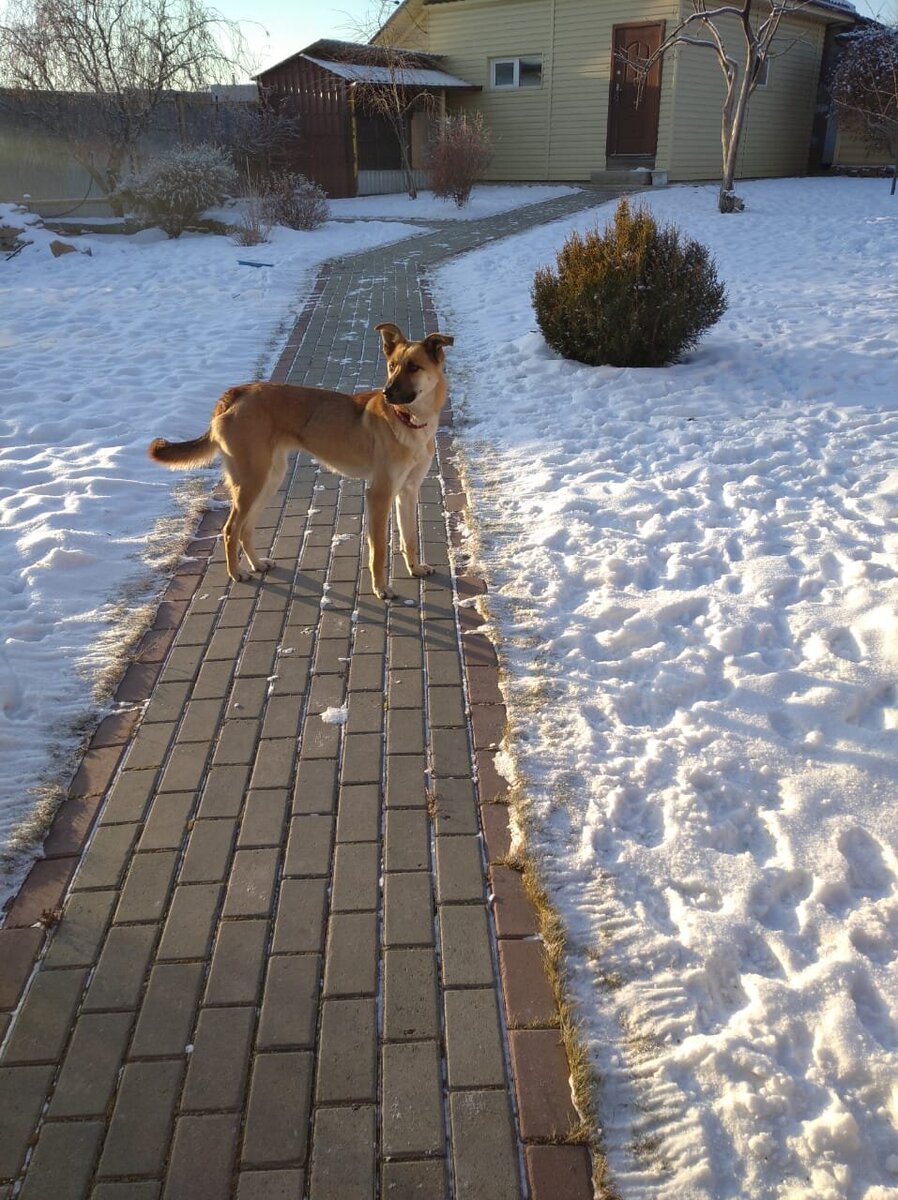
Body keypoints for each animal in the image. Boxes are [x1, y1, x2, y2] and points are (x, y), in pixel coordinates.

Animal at [150, 324, 456, 600]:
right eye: (392, 366)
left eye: (413, 367)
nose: (386, 392)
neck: (409, 421)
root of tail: (235, 393)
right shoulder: (379, 494)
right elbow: (379, 549)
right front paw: (381, 588)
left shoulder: (408, 491)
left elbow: (410, 538)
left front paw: (415, 568)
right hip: (251, 482)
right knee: (230, 529)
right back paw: (236, 572)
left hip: (269, 479)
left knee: (246, 528)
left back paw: (257, 564)